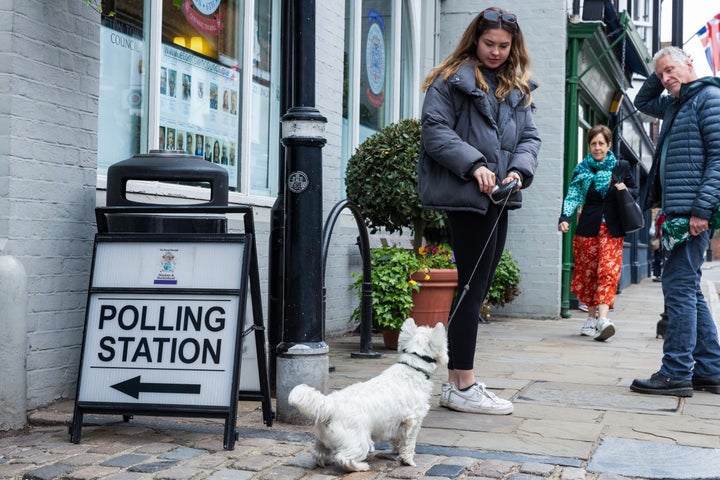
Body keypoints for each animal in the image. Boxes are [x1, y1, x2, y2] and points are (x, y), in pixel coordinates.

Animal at [288, 316, 448, 470]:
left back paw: (325, 462)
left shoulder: (397, 424)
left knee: (319, 453)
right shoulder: (413, 421)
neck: (413, 366)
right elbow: (408, 444)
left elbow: (397, 439)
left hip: (322, 439)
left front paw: (396, 451)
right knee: (345, 458)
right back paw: (361, 466)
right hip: (358, 440)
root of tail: (328, 406)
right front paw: (408, 461)